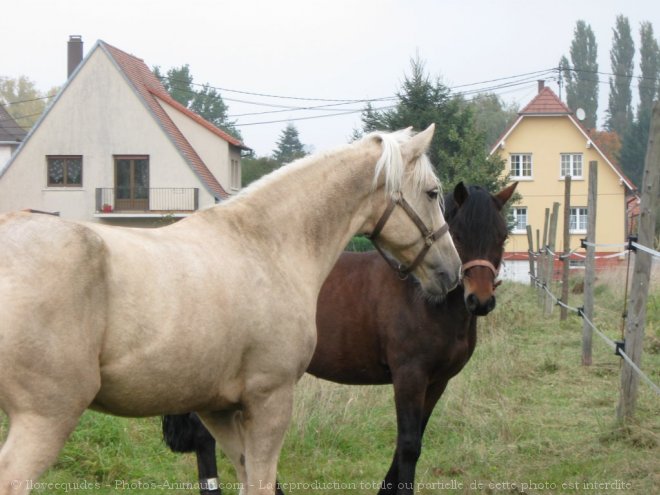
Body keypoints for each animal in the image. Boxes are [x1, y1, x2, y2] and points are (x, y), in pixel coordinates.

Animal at [0, 125, 458, 495]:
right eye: (433, 192)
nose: (451, 272)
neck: (267, 245)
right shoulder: (270, 400)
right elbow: (262, 481)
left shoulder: (217, 408)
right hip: (46, 417)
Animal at [161, 182, 516, 495]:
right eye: (459, 236)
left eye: (502, 236)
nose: (480, 301)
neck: (423, 297)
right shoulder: (409, 377)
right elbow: (409, 445)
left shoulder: (437, 381)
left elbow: (411, 441)